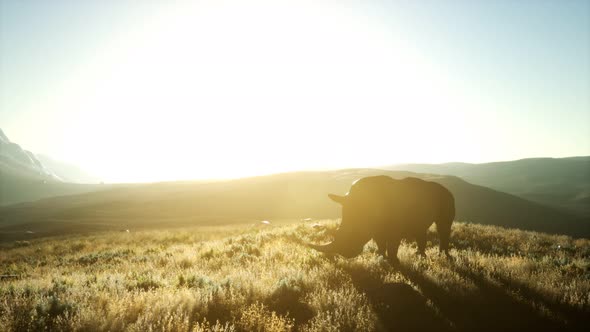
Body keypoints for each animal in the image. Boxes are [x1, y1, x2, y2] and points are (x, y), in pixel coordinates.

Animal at [310, 175, 458, 264]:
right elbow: (380, 244)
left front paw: (394, 262)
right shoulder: (375, 228)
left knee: (443, 227)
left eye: (356, 233)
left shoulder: (395, 229)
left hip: (447, 198)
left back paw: (443, 256)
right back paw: (421, 256)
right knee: (420, 228)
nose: (347, 254)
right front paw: (381, 258)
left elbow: (392, 245)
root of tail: (448, 189)